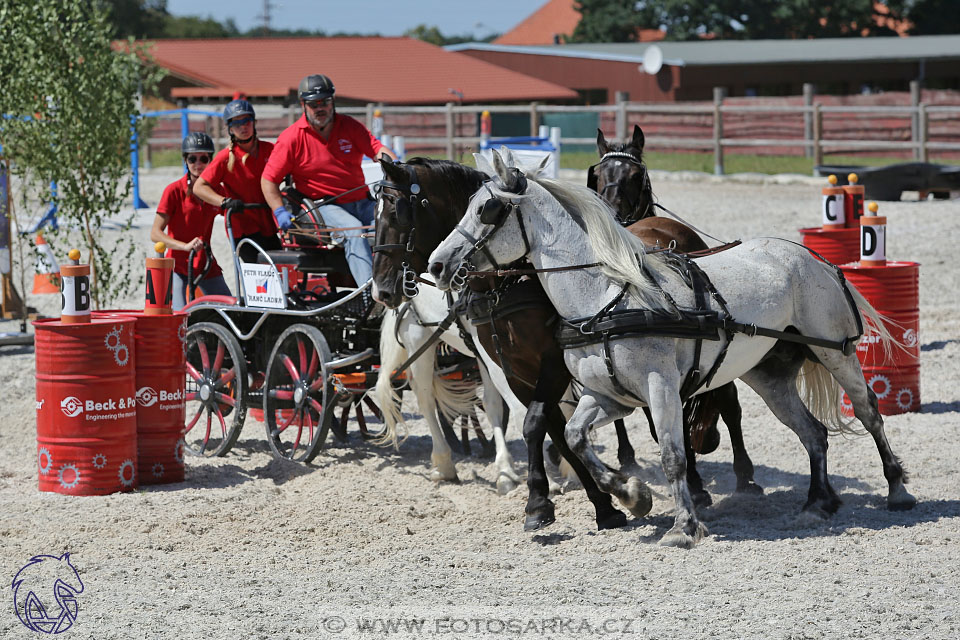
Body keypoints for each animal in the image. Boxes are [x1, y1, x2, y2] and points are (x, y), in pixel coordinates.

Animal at [428, 148, 916, 548]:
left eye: (487, 209)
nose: (436, 264)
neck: (607, 296)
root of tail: (810, 256)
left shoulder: (659, 386)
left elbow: (672, 455)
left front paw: (684, 526)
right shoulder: (606, 395)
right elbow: (575, 437)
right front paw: (631, 495)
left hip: (837, 351)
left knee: (869, 412)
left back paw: (897, 489)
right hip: (768, 374)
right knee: (813, 432)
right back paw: (817, 502)